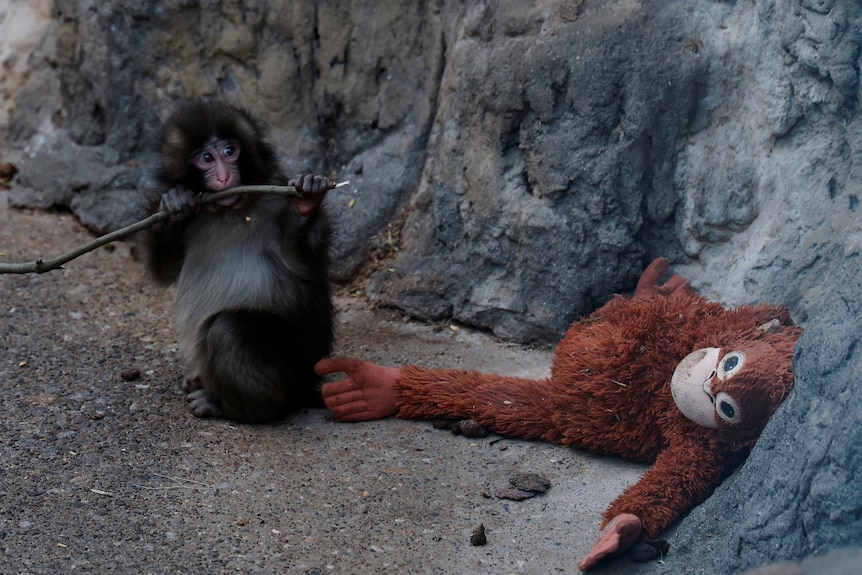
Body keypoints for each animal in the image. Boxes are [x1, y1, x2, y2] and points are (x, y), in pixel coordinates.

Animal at [145, 98, 334, 423]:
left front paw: (307, 201)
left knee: (228, 328)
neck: (229, 211)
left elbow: (303, 264)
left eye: (230, 151)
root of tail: (307, 380)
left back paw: (237, 406)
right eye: (206, 158)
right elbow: (164, 270)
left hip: (296, 364)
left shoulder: (274, 197)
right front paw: (175, 202)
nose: (223, 177)